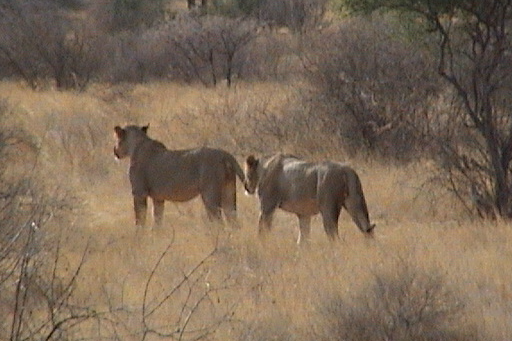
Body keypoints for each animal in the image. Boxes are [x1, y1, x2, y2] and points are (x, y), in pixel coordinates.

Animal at [114, 123, 246, 227]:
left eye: (117, 139)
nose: (115, 151)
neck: (137, 144)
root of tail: (225, 154)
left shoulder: (139, 193)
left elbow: (139, 220)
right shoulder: (158, 198)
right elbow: (157, 220)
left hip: (210, 194)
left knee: (219, 221)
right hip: (229, 191)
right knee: (233, 219)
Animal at [242, 153, 374, 243]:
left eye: (246, 173)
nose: (246, 186)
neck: (264, 166)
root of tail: (346, 169)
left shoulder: (267, 206)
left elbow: (262, 229)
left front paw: (262, 243)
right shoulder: (304, 214)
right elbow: (303, 237)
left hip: (328, 208)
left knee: (334, 236)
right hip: (355, 202)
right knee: (366, 228)